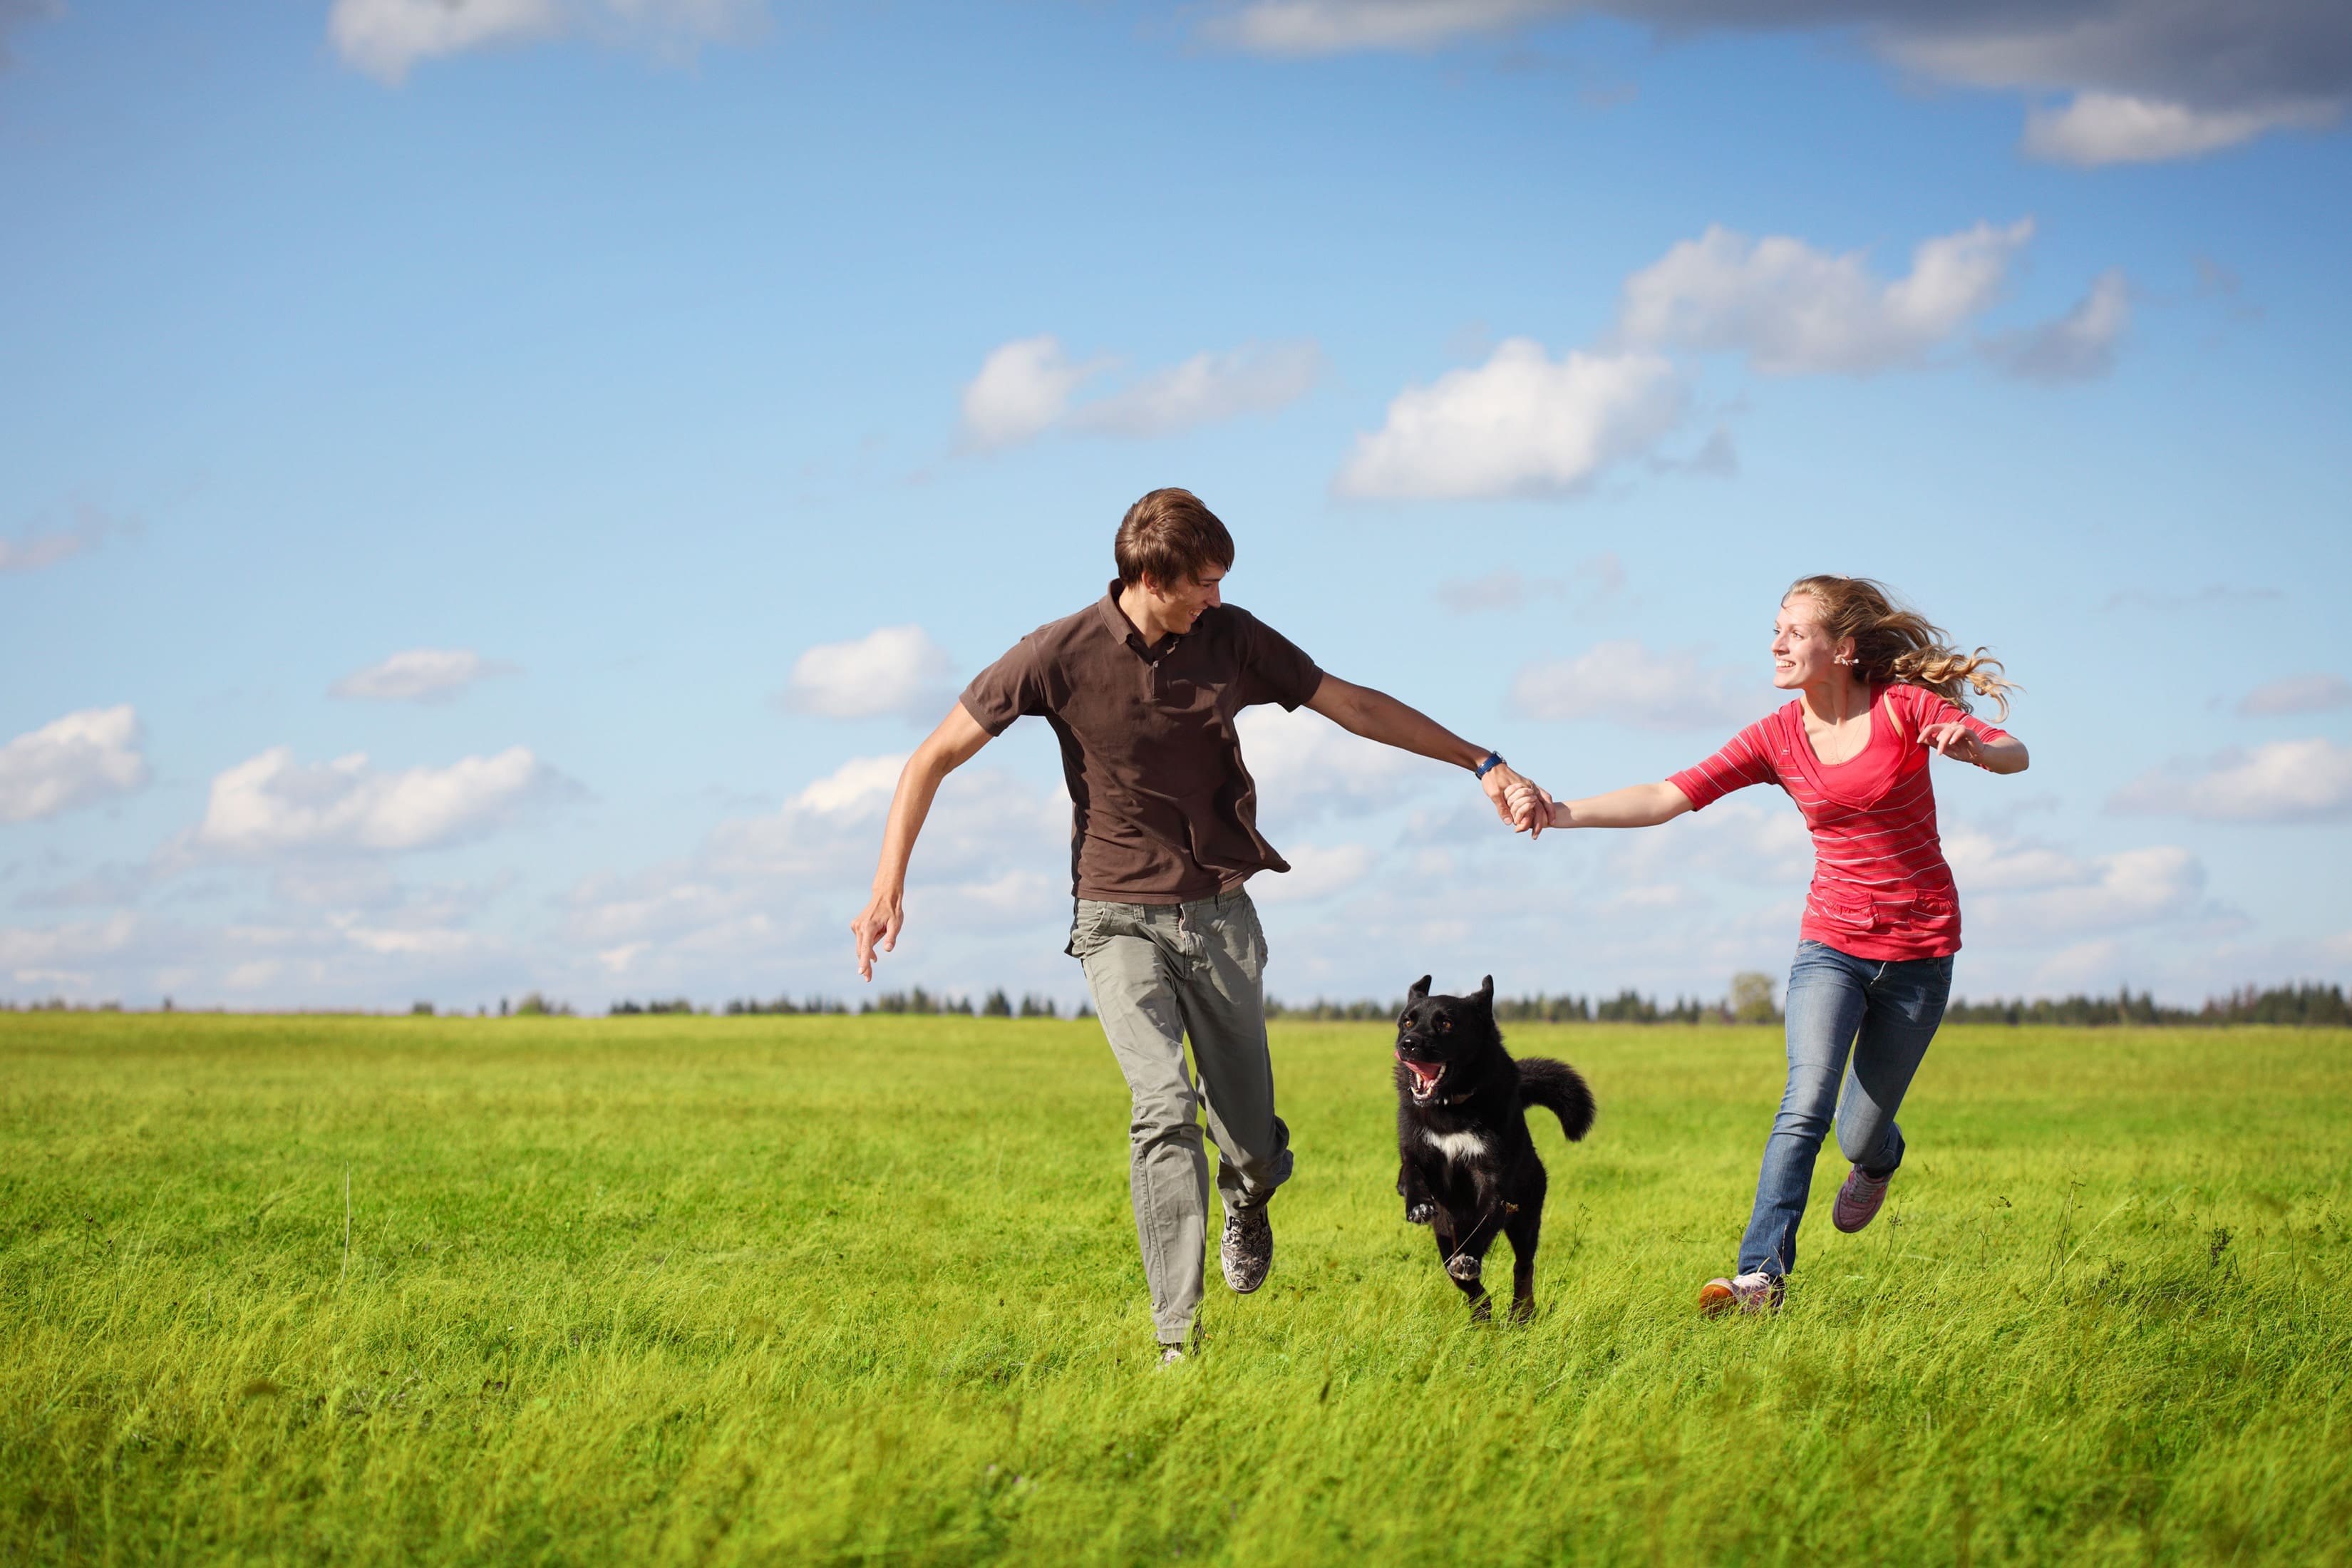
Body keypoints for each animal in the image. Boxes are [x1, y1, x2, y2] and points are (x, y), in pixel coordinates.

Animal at [1392, 973, 1599, 1316]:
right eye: (1407, 1021)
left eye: (1446, 1023)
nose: (1408, 1043)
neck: (1452, 1109)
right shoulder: (1417, 1154)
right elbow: (1411, 1175)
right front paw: (1418, 1205)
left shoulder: (1494, 1181)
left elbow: (1482, 1228)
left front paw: (1470, 1260)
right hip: (1446, 1233)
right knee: (1466, 1281)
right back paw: (1483, 1313)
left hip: (1526, 1218)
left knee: (1523, 1267)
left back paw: (1521, 1314)